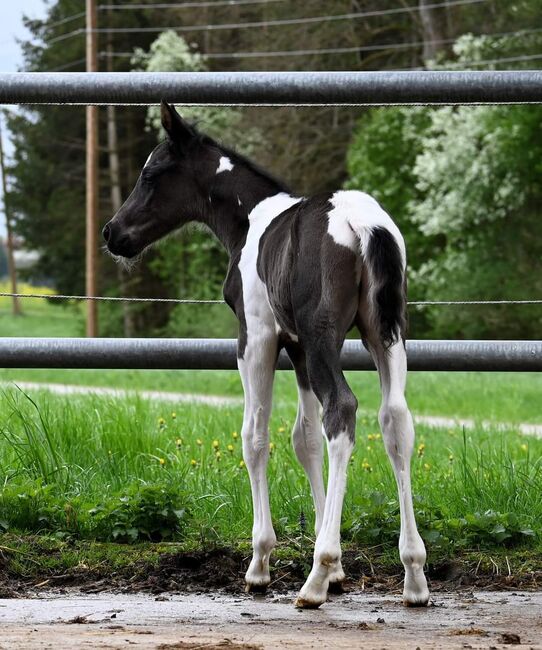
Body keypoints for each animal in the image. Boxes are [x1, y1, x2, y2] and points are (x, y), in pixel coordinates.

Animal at [104, 101, 432, 608]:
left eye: (151, 174)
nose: (112, 233)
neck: (250, 221)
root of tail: (361, 223)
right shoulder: (295, 347)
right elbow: (305, 438)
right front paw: (338, 570)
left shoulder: (256, 336)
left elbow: (255, 436)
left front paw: (262, 564)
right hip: (384, 335)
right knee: (393, 419)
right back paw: (414, 576)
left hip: (323, 336)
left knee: (343, 408)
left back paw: (314, 581)